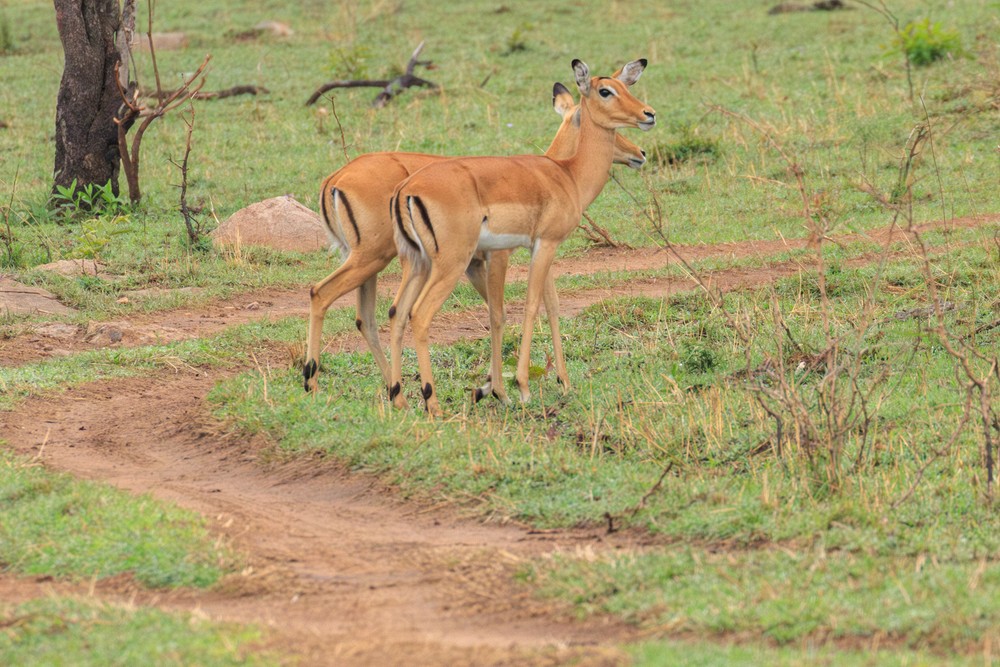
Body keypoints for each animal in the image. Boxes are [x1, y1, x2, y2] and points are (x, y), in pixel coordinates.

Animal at [303, 84, 646, 394]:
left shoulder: (497, 258)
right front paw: (506, 387)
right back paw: (317, 383)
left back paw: (393, 388)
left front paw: (548, 381)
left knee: (369, 316)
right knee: (324, 294)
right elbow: (504, 312)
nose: (639, 153)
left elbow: (545, 305)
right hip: (380, 258)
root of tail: (335, 178)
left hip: (378, 261)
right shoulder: (502, 255)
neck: (558, 172)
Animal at [388, 59, 656, 416]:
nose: (648, 115)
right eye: (605, 90)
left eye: (626, 87)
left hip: (416, 262)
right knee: (419, 314)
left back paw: (398, 398)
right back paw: (433, 403)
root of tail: (407, 188)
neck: (566, 174)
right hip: (451, 264)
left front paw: (562, 382)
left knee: (396, 312)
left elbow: (551, 305)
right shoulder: (543, 245)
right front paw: (521, 387)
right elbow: (528, 305)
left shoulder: (540, 247)